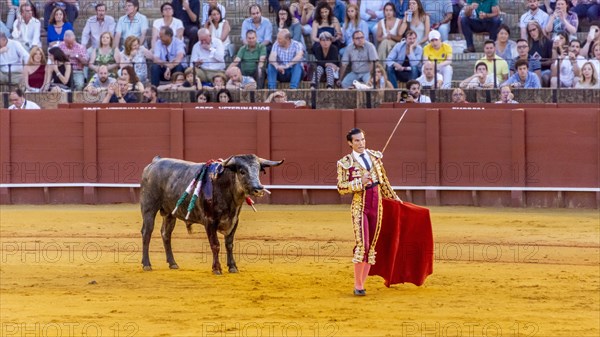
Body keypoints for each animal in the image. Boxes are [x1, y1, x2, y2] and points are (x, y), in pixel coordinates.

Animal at [139, 154, 284, 272]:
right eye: (242, 171)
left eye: (258, 170)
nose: (258, 189)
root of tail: (155, 161)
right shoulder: (209, 221)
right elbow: (215, 245)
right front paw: (217, 268)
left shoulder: (234, 220)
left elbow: (229, 244)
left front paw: (233, 267)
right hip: (149, 208)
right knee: (147, 232)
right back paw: (147, 264)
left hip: (170, 213)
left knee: (166, 234)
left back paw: (173, 263)